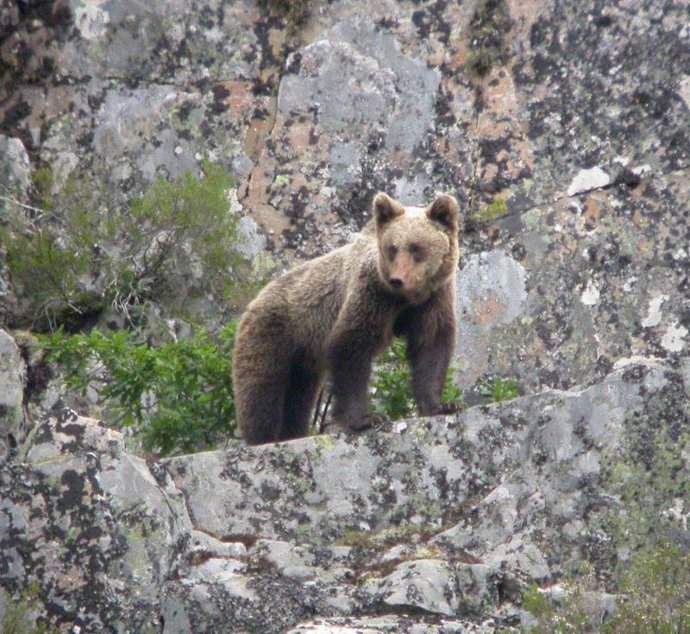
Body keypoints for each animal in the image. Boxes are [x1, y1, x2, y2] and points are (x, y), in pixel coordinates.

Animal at [232, 191, 461, 445]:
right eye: (392, 249)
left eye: (416, 248)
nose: (397, 279)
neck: (404, 300)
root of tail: (255, 299)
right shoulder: (371, 294)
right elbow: (351, 347)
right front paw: (364, 418)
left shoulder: (432, 300)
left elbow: (431, 347)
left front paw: (441, 405)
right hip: (274, 332)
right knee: (261, 389)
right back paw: (262, 438)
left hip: (303, 358)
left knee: (298, 397)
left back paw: (292, 432)